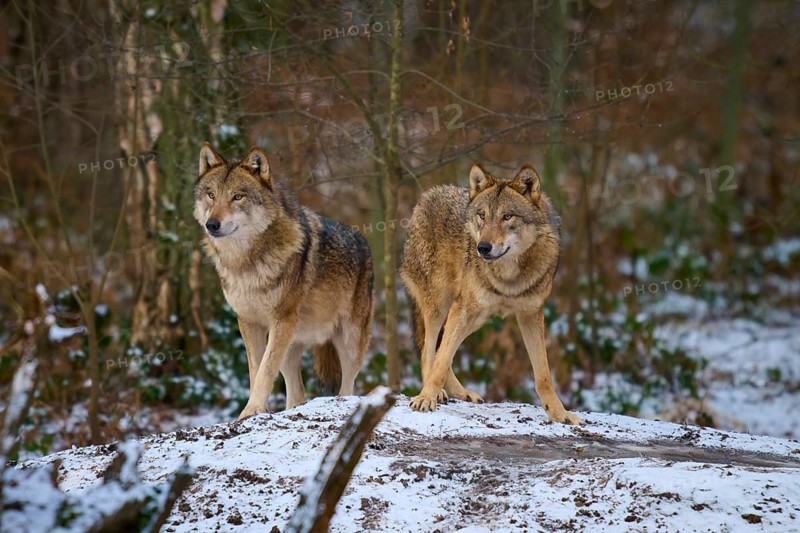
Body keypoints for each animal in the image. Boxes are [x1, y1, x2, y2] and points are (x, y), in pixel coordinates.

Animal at [193, 143, 374, 420]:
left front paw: (252, 410)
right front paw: (255, 411)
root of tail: (363, 240)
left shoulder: (280, 320)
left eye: (238, 197)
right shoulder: (248, 321)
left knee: (349, 384)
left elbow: (265, 371)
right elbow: (255, 370)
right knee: (297, 391)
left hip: (349, 340)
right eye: (211, 195)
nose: (212, 224)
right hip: (290, 345)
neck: (246, 263)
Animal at [400, 163, 580, 424]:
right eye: (482, 216)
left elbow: (543, 375)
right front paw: (425, 398)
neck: (509, 278)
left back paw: (459, 392)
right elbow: (440, 359)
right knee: (428, 349)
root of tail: (426, 196)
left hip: (476, 319)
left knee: (441, 350)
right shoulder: (463, 308)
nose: (482, 247)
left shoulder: (531, 314)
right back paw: (436, 392)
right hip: (440, 304)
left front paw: (559, 413)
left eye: (507, 216)